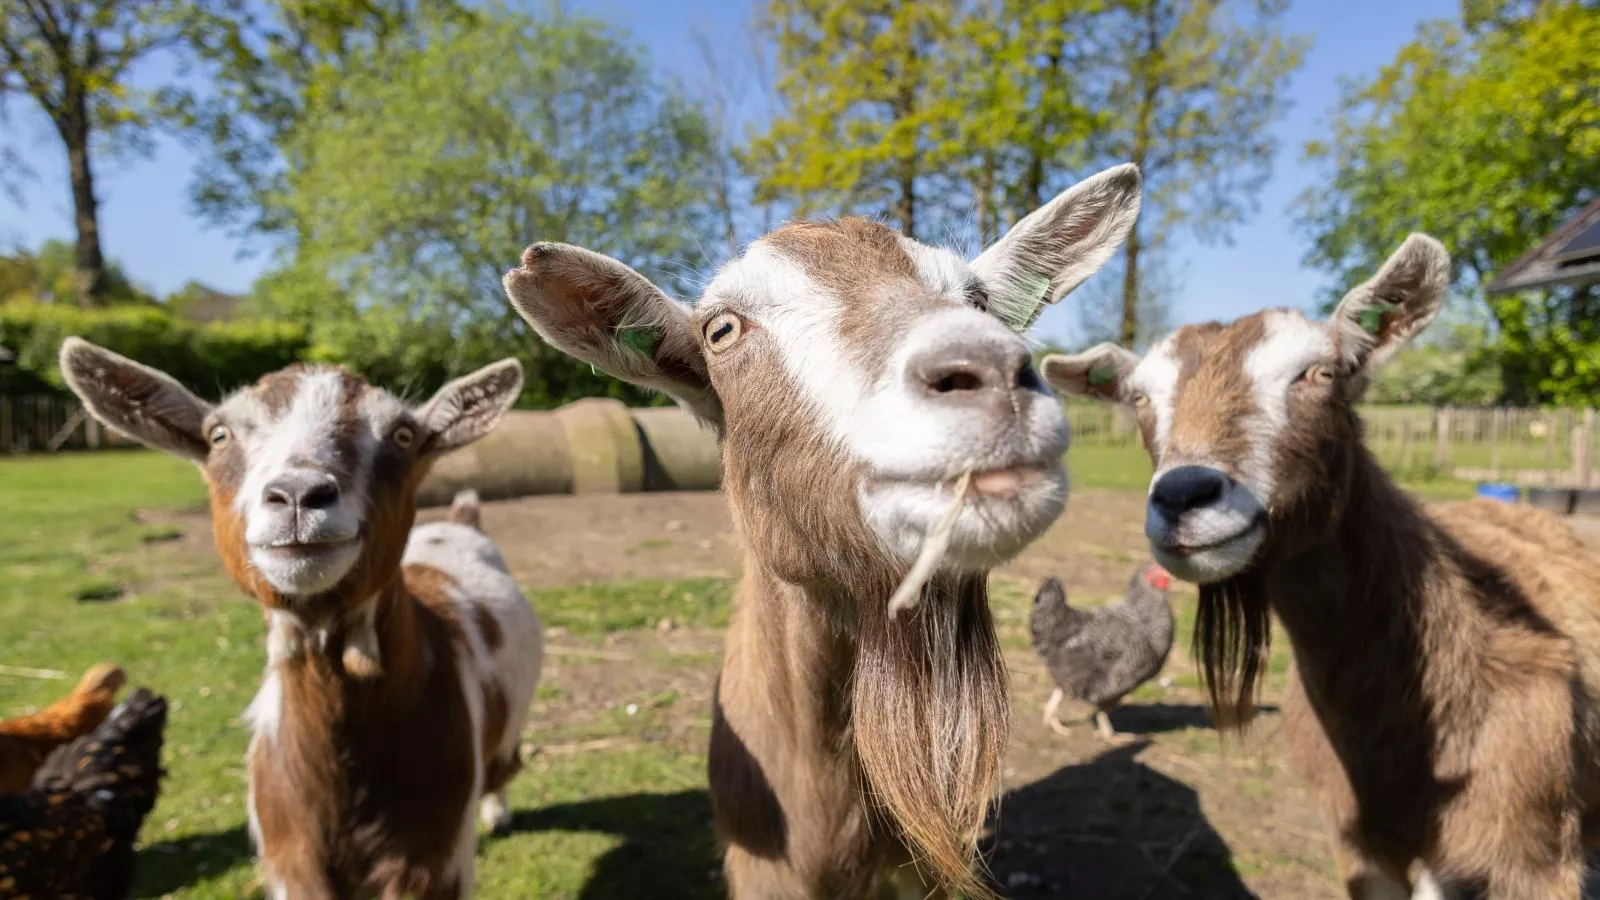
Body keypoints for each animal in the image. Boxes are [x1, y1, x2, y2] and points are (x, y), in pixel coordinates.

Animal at [59, 339, 540, 890]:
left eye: (403, 436)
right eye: (218, 435)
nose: (298, 495)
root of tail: (462, 522)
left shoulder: (435, 863)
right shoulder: (291, 863)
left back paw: (497, 812)